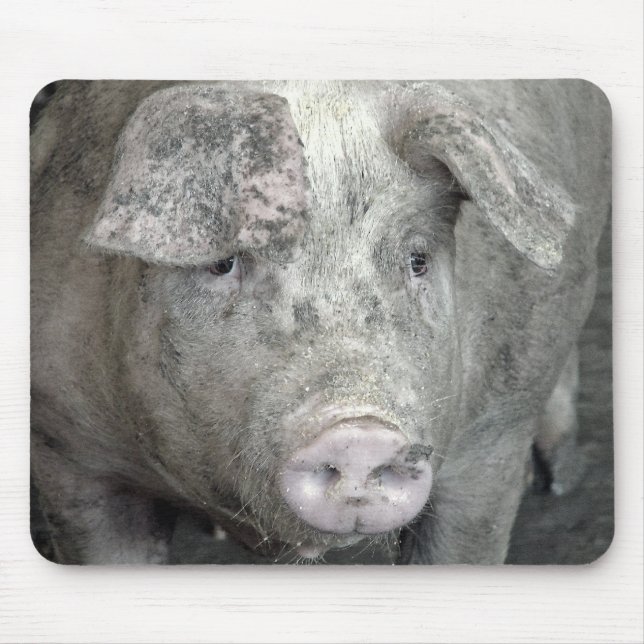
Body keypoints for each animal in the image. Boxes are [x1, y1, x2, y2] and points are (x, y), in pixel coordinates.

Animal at [30, 80, 611, 564]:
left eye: (417, 260)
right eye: (223, 262)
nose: (358, 432)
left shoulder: (492, 440)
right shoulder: (68, 452)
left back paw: (559, 476)